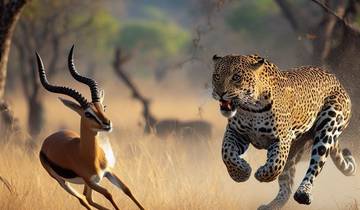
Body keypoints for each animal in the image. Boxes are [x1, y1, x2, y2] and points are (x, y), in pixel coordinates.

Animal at [35, 46, 144, 210]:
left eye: (103, 107)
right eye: (87, 113)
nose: (107, 124)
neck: (86, 155)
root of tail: (48, 139)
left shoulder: (107, 172)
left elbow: (127, 190)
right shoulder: (90, 181)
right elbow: (108, 194)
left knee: (88, 198)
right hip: (62, 182)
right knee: (82, 199)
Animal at [211, 53, 358, 209]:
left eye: (236, 77)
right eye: (216, 76)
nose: (219, 93)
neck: (250, 109)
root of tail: (337, 81)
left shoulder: (282, 138)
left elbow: (275, 165)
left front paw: (261, 174)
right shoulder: (235, 132)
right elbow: (227, 154)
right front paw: (241, 173)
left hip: (328, 127)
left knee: (315, 164)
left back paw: (303, 194)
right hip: (295, 150)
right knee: (287, 185)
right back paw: (271, 206)